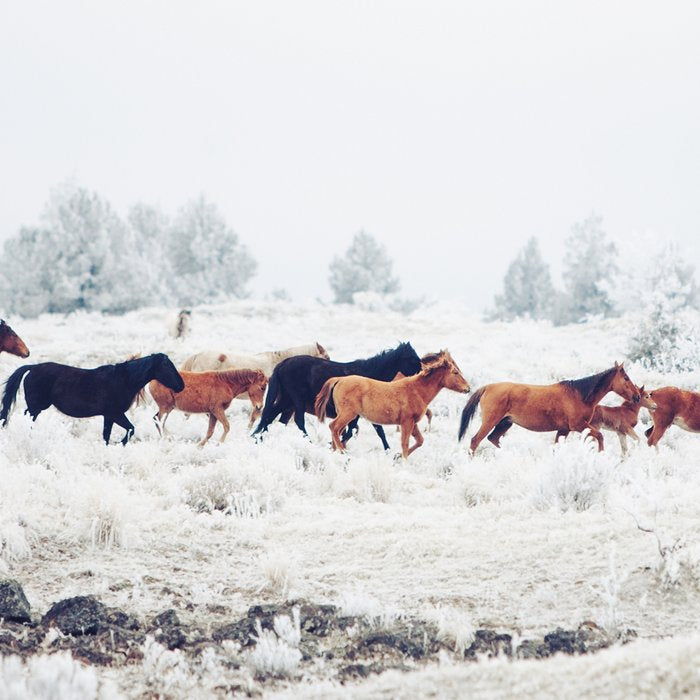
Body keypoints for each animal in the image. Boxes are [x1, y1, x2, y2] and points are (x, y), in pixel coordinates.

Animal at [0, 353, 184, 445]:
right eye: (166, 366)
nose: (181, 386)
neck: (123, 380)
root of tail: (32, 368)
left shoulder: (109, 416)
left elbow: (107, 435)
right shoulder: (115, 414)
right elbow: (130, 429)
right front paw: (121, 442)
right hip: (36, 407)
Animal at [251, 342, 422, 450]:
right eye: (412, 358)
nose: (422, 373)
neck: (370, 374)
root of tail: (282, 365)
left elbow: (375, 430)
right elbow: (354, 431)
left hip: (286, 400)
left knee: (269, 417)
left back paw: (256, 437)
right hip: (296, 400)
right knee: (298, 421)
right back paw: (309, 443)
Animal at [315, 350, 470, 459]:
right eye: (455, 372)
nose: (468, 388)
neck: (416, 390)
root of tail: (339, 379)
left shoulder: (413, 423)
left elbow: (420, 441)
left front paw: (397, 457)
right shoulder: (406, 422)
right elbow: (405, 443)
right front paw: (403, 461)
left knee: (337, 431)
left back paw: (335, 451)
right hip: (348, 414)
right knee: (334, 427)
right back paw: (342, 452)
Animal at [458, 363, 640, 453]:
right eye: (626, 378)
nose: (637, 396)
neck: (579, 394)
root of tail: (487, 387)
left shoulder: (564, 430)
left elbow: (556, 447)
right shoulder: (578, 426)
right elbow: (600, 437)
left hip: (505, 423)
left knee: (493, 439)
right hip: (491, 421)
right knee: (475, 441)